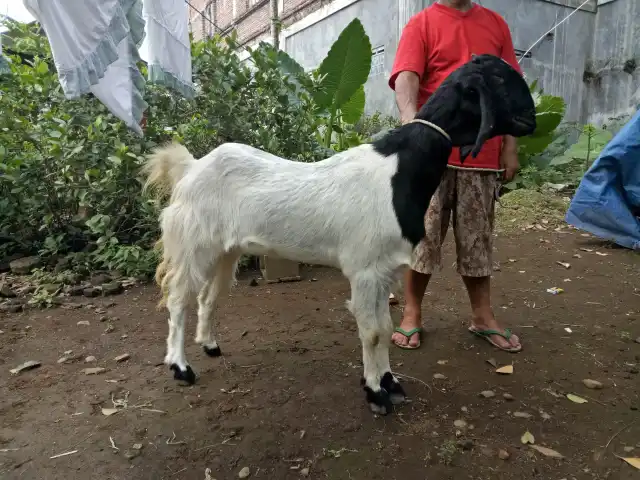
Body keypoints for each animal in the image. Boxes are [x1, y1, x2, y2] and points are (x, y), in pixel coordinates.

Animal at [144, 54, 536, 416]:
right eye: (500, 79)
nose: (532, 120)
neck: (400, 168)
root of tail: (189, 168)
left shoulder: (384, 269)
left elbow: (385, 326)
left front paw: (390, 382)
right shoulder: (364, 270)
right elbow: (373, 331)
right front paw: (376, 392)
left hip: (225, 249)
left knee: (209, 295)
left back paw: (209, 345)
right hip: (193, 243)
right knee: (179, 299)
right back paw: (180, 367)